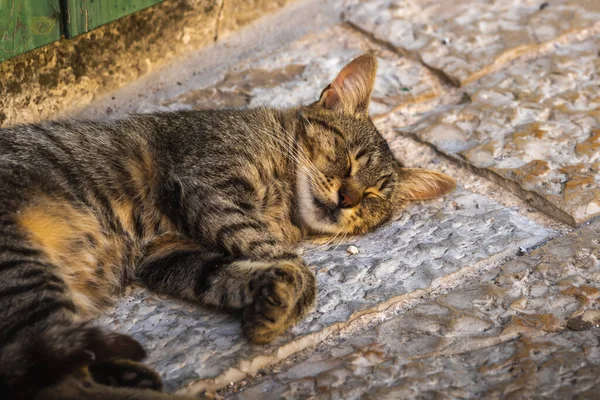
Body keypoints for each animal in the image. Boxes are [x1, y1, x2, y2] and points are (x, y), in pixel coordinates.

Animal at [0, 54, 454, 400]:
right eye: (348, 158)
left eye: (375, 196)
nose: (348, 198)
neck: (283, 206)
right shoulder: (210, 184)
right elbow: (291, 263)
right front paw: (291, 289)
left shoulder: (168, 253)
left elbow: (222, 274)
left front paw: (269, 305)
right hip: (24, 266)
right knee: (59, 384)